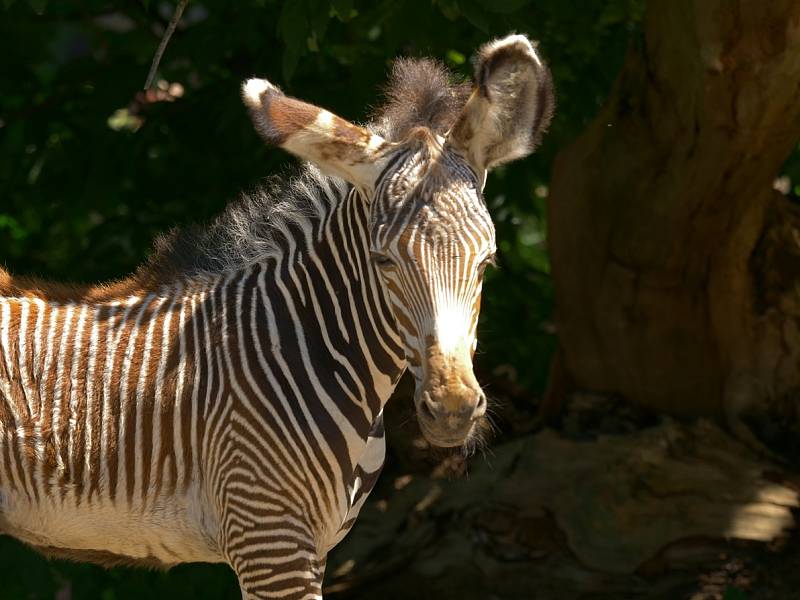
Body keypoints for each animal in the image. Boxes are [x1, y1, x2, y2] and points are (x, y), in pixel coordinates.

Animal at [0, 34, 552, 600]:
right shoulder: (269, 540)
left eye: (487, 262)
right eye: (383, 261)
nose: (452, 410)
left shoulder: (307, 547)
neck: (307, 344)